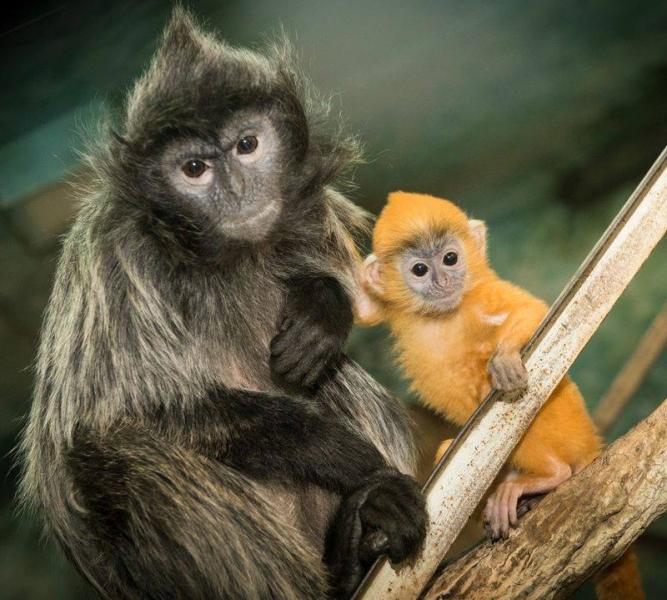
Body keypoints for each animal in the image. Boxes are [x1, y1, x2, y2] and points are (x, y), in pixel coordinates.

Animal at [18, 11, 427, 600]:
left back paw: (353, 544)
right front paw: (340, 453)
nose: (235, 191)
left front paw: (322, 308)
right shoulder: (117, 255)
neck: (219, 260)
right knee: (123, 454)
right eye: (194, 168)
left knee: (329, 372)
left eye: (247, 145)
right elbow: (124, 417)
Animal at [355, 191, 644, 599]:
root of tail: (591, 442)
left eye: (450, 258)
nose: (443, 279)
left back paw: (548, 477)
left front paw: (505, 356)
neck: (443, 315)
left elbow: (530, 311)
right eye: (420, 269)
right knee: (449, 451)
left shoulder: (482, 296)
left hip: (562, 422)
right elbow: (361, 309)